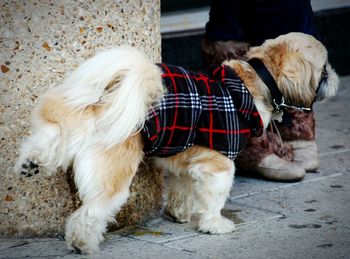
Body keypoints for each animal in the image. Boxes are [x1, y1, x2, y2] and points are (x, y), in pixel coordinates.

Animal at [15, 32, 338, 254]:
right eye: (324, 68)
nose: (335, 76)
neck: (253, 85)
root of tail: (108, 100)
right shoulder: (218, 166)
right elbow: (213, 199)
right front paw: (214, 225)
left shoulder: (183, 159)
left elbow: (181, 191)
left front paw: (178, 215)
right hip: (112, 174)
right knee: (92, 211)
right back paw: (83, 243)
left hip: (69, 124)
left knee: (50, 138)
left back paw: (31, 162)